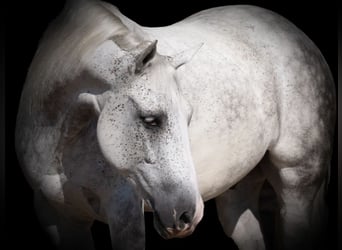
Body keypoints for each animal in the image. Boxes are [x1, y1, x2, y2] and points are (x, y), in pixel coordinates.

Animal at [14, 0, 336, 250]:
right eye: (150, 119)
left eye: (189, 116)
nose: (186, 214)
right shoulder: (58, 217)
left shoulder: (125, 214)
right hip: (237, 193)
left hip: (297, 183)